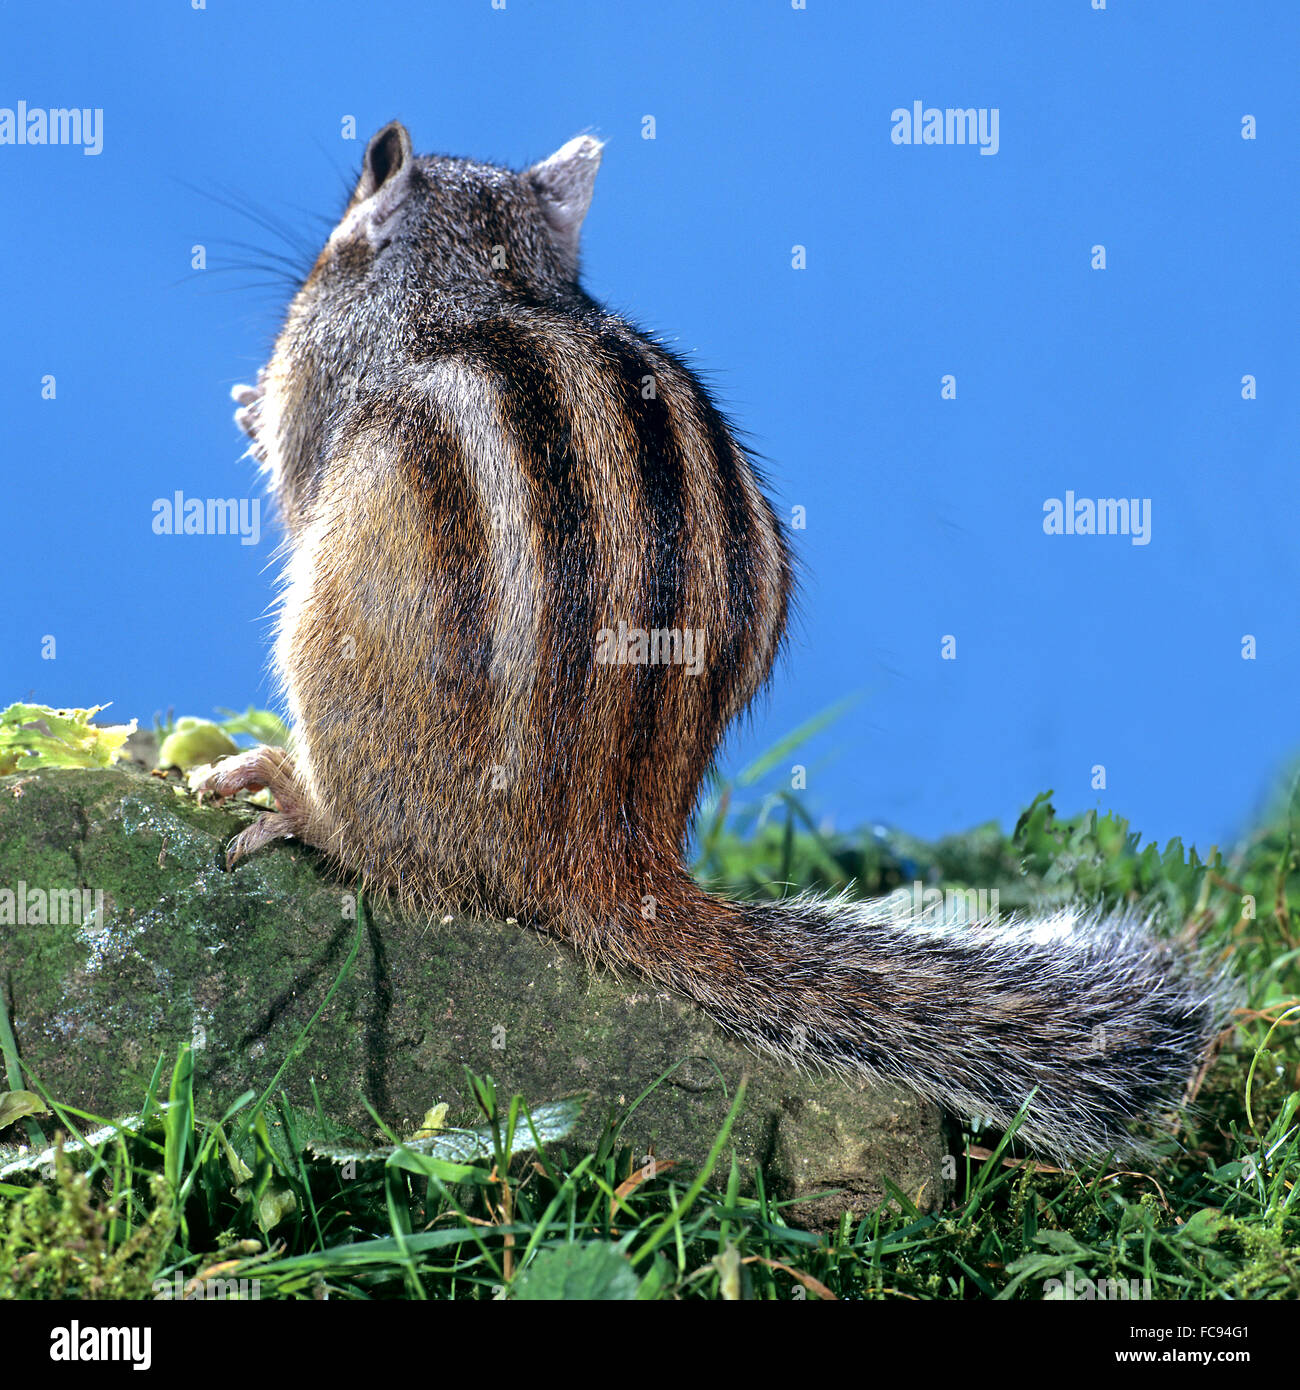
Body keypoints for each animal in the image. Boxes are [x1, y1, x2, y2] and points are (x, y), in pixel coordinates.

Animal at [201, 121, 1233, 1161]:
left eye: (342, 230)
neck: (484, 276)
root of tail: (605, 847)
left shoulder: (322, 372)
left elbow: (292, 469)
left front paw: (247, 407)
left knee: (377, 854)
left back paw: (285, 789)